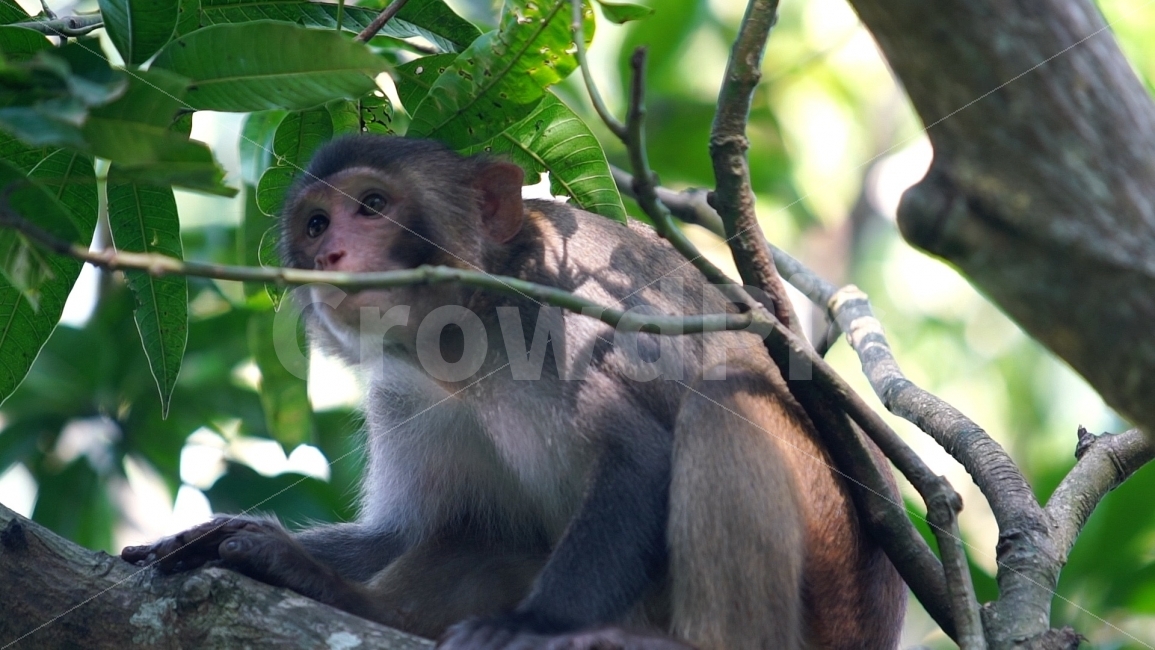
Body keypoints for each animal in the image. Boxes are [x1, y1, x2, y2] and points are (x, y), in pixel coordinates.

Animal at [122, 135, 905, 649]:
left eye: (372, 205)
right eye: (316, 224)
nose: (332, 253)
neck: (459, 342)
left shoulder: (548, 330)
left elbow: (638, 461)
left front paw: (533, 625)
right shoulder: (400, 393)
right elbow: (407, 531)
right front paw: (237, 539)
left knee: (726, 401)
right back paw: (343, 595)